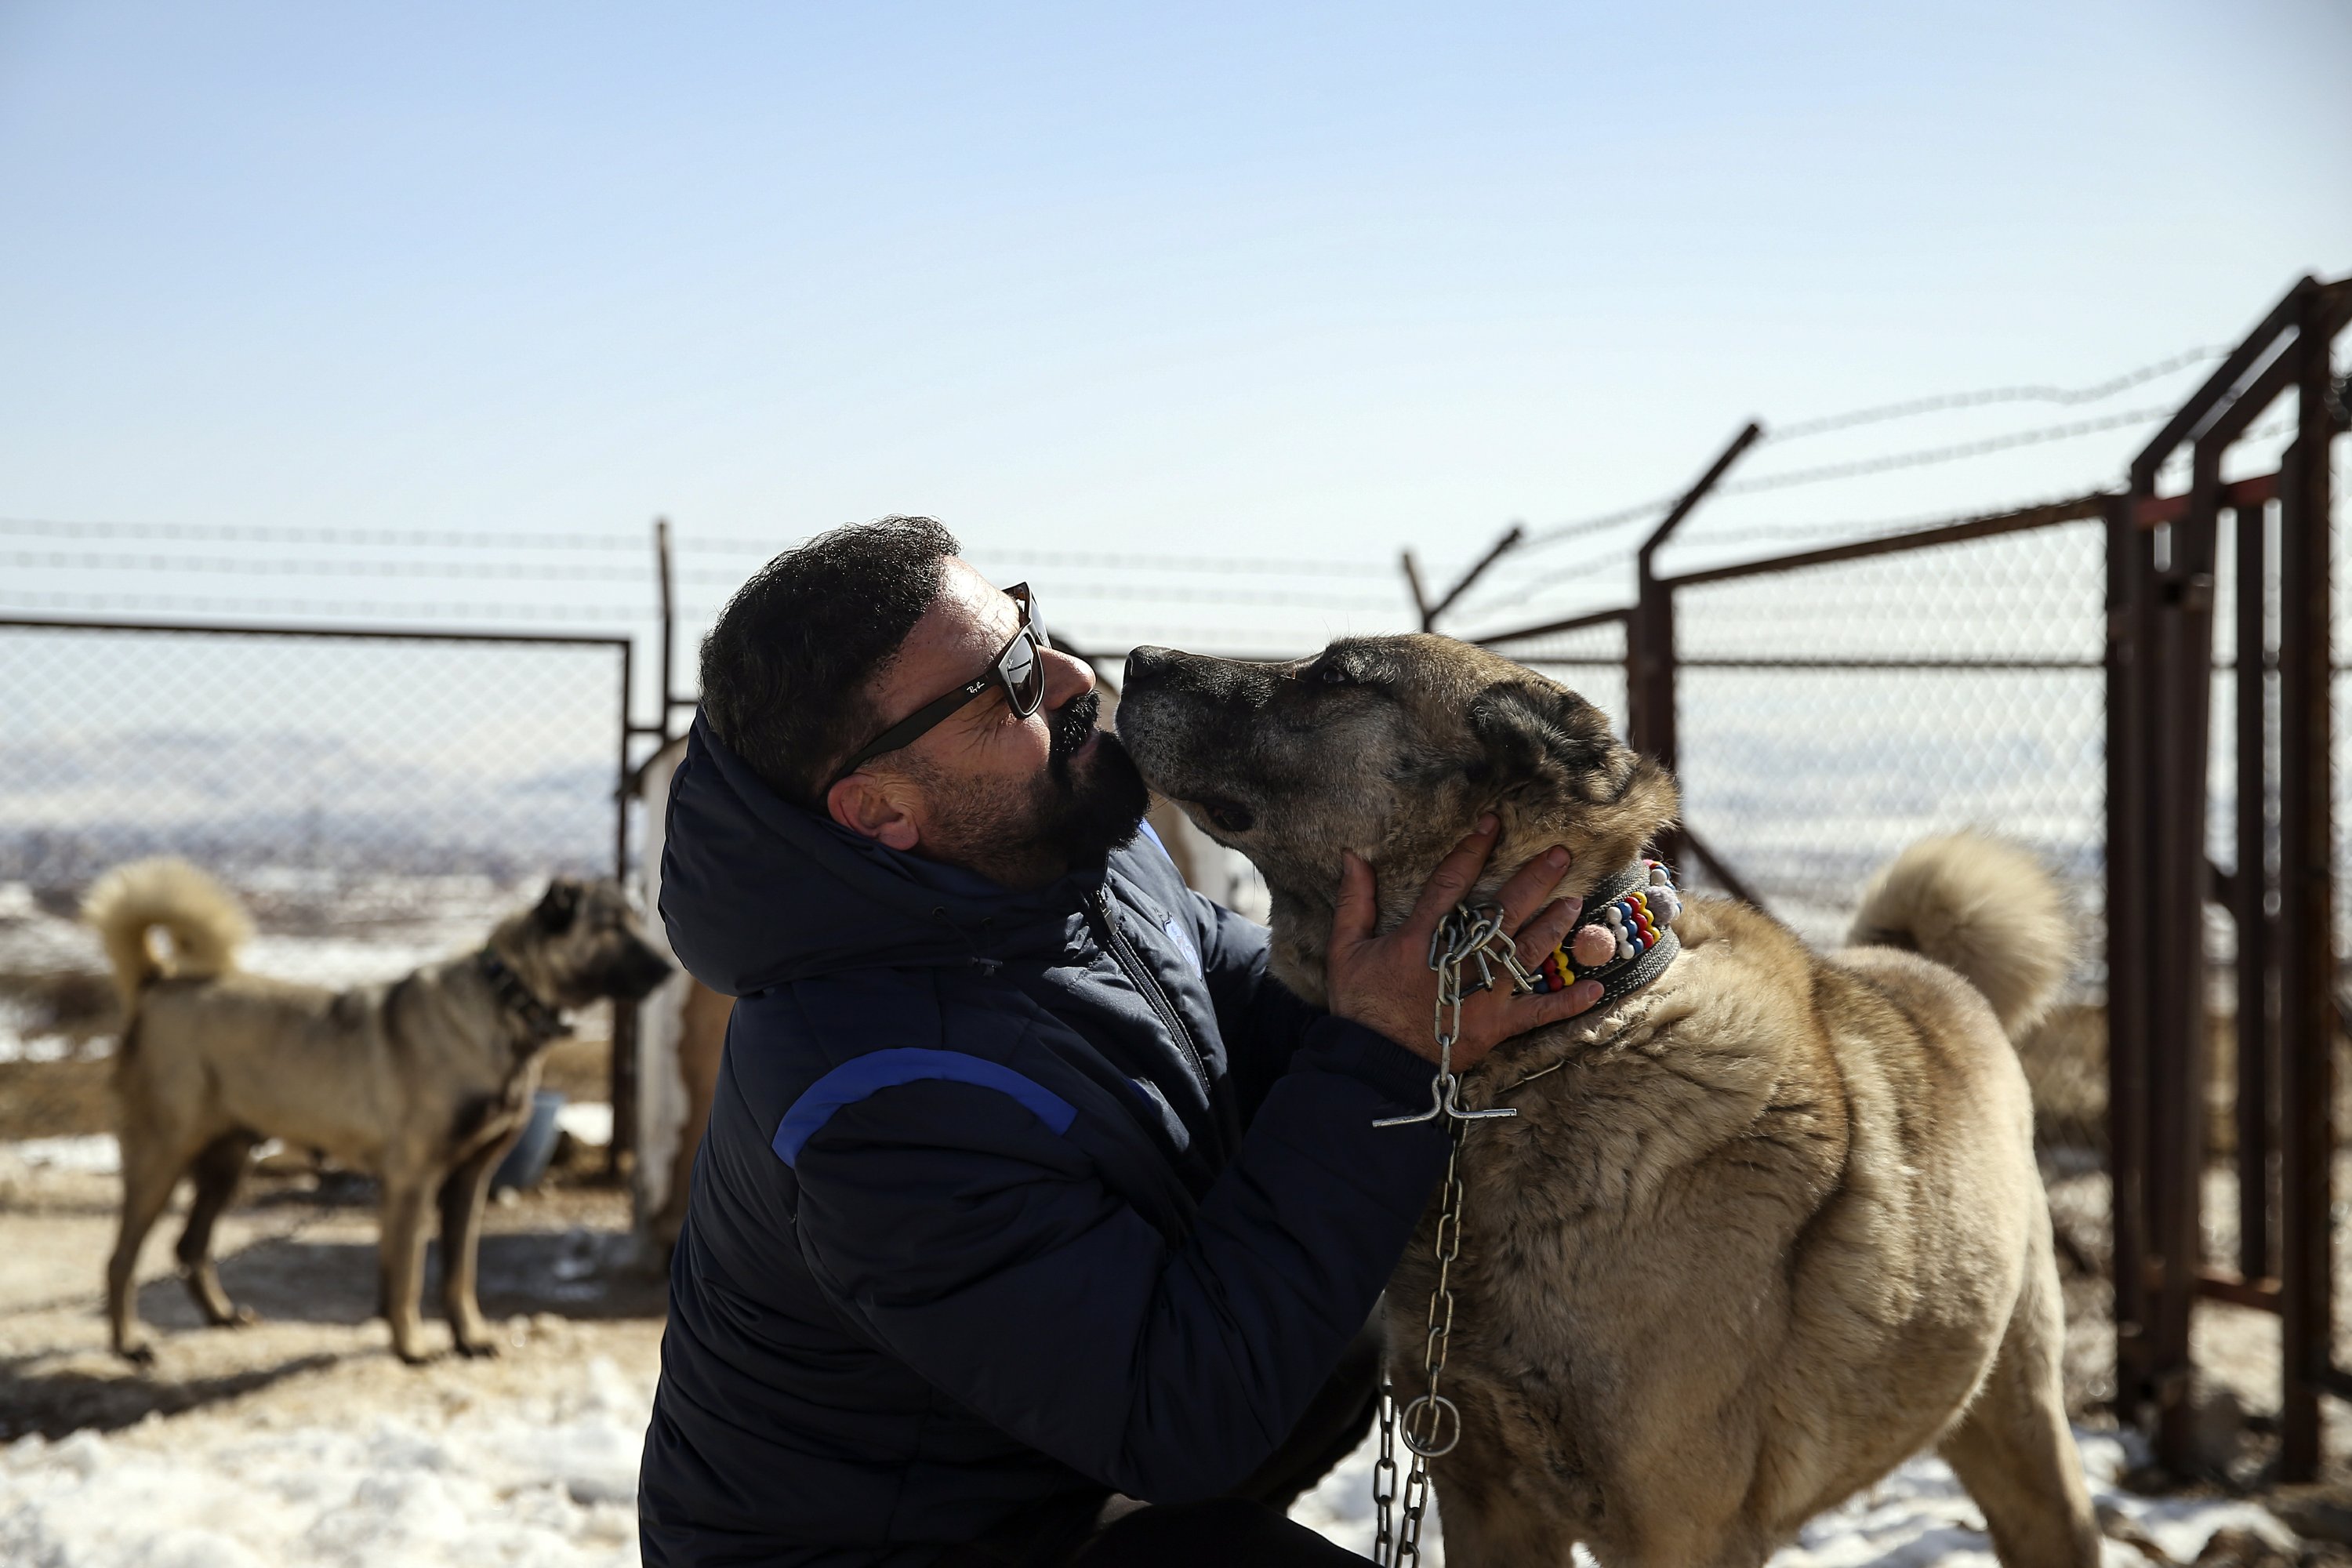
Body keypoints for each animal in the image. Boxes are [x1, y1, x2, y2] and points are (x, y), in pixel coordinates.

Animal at [85, 865, 673, 1363]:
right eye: (611, 927)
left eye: (635, 919)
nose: (671, 968)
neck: (505, 1001)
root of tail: (158, 983)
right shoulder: (413, 1180)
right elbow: (408, 1274)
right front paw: (412, 1348)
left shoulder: (468, 1182)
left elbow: (458, 1275)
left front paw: (469, 1338)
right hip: (161, 1158)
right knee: (121, 1259)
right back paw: (129, 1345)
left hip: (227, 1162)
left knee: (191, 1246)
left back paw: (221, 1316)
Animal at [1110, 634, 2107, 1568]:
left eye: (1338, 675)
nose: (1138, 658)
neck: (1552, 1044)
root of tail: (1924, 965)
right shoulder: (1483, 1494)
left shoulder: (1679, 1530)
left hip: (2020, 1420)